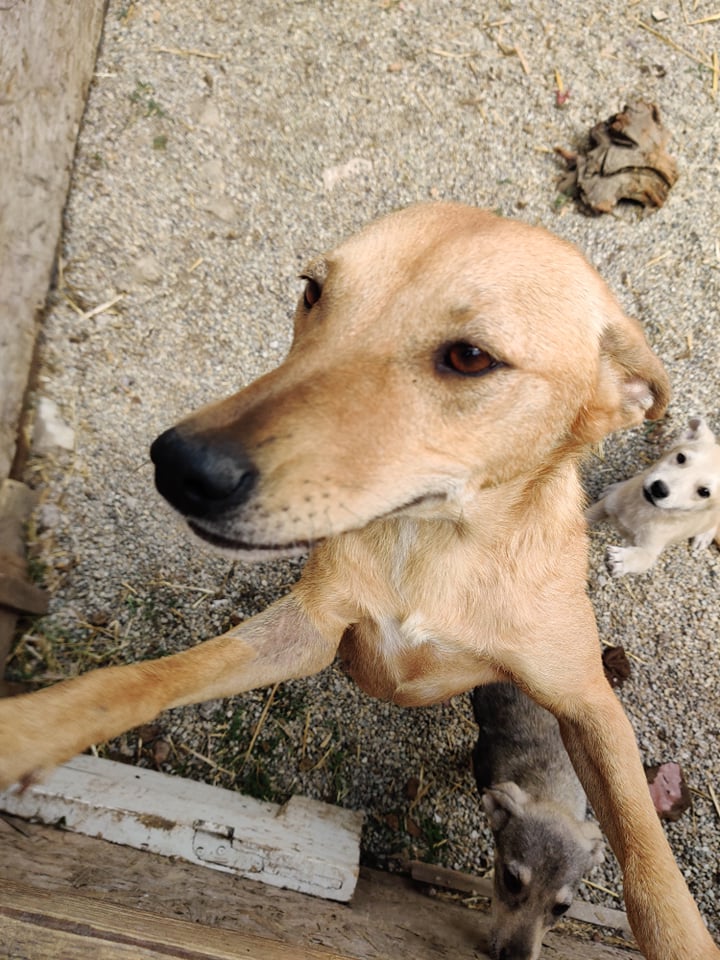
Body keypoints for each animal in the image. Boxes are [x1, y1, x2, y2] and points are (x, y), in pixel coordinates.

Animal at [584, 416, 720, 572]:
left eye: (704, 492)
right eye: (681, 457)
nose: (659, 489)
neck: (643, 509)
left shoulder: (650, 549)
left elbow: (640, 558)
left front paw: (621, 560)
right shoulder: (605, 506)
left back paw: (703, 537)